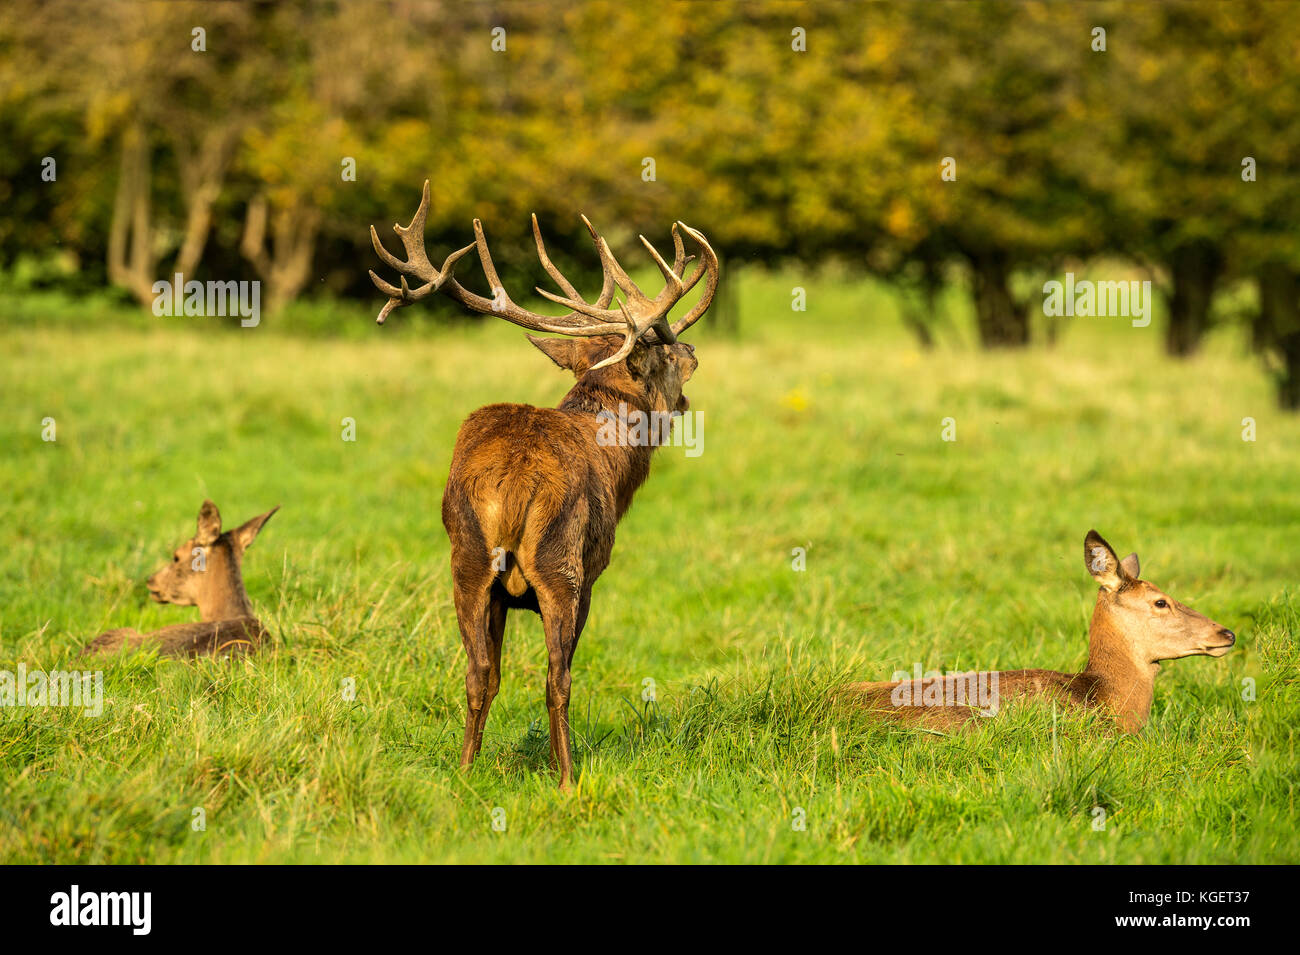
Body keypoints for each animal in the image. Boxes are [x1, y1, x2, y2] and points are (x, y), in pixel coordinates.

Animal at [370, 180, 718, 789]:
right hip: (561, 566)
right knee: (558, 681)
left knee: (477, 672)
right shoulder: (594, 569)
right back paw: (567, 777)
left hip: (466, 561)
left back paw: (465, 770)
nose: (693, 352)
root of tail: (512, 484)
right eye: (666, 352)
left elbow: (491, 674)